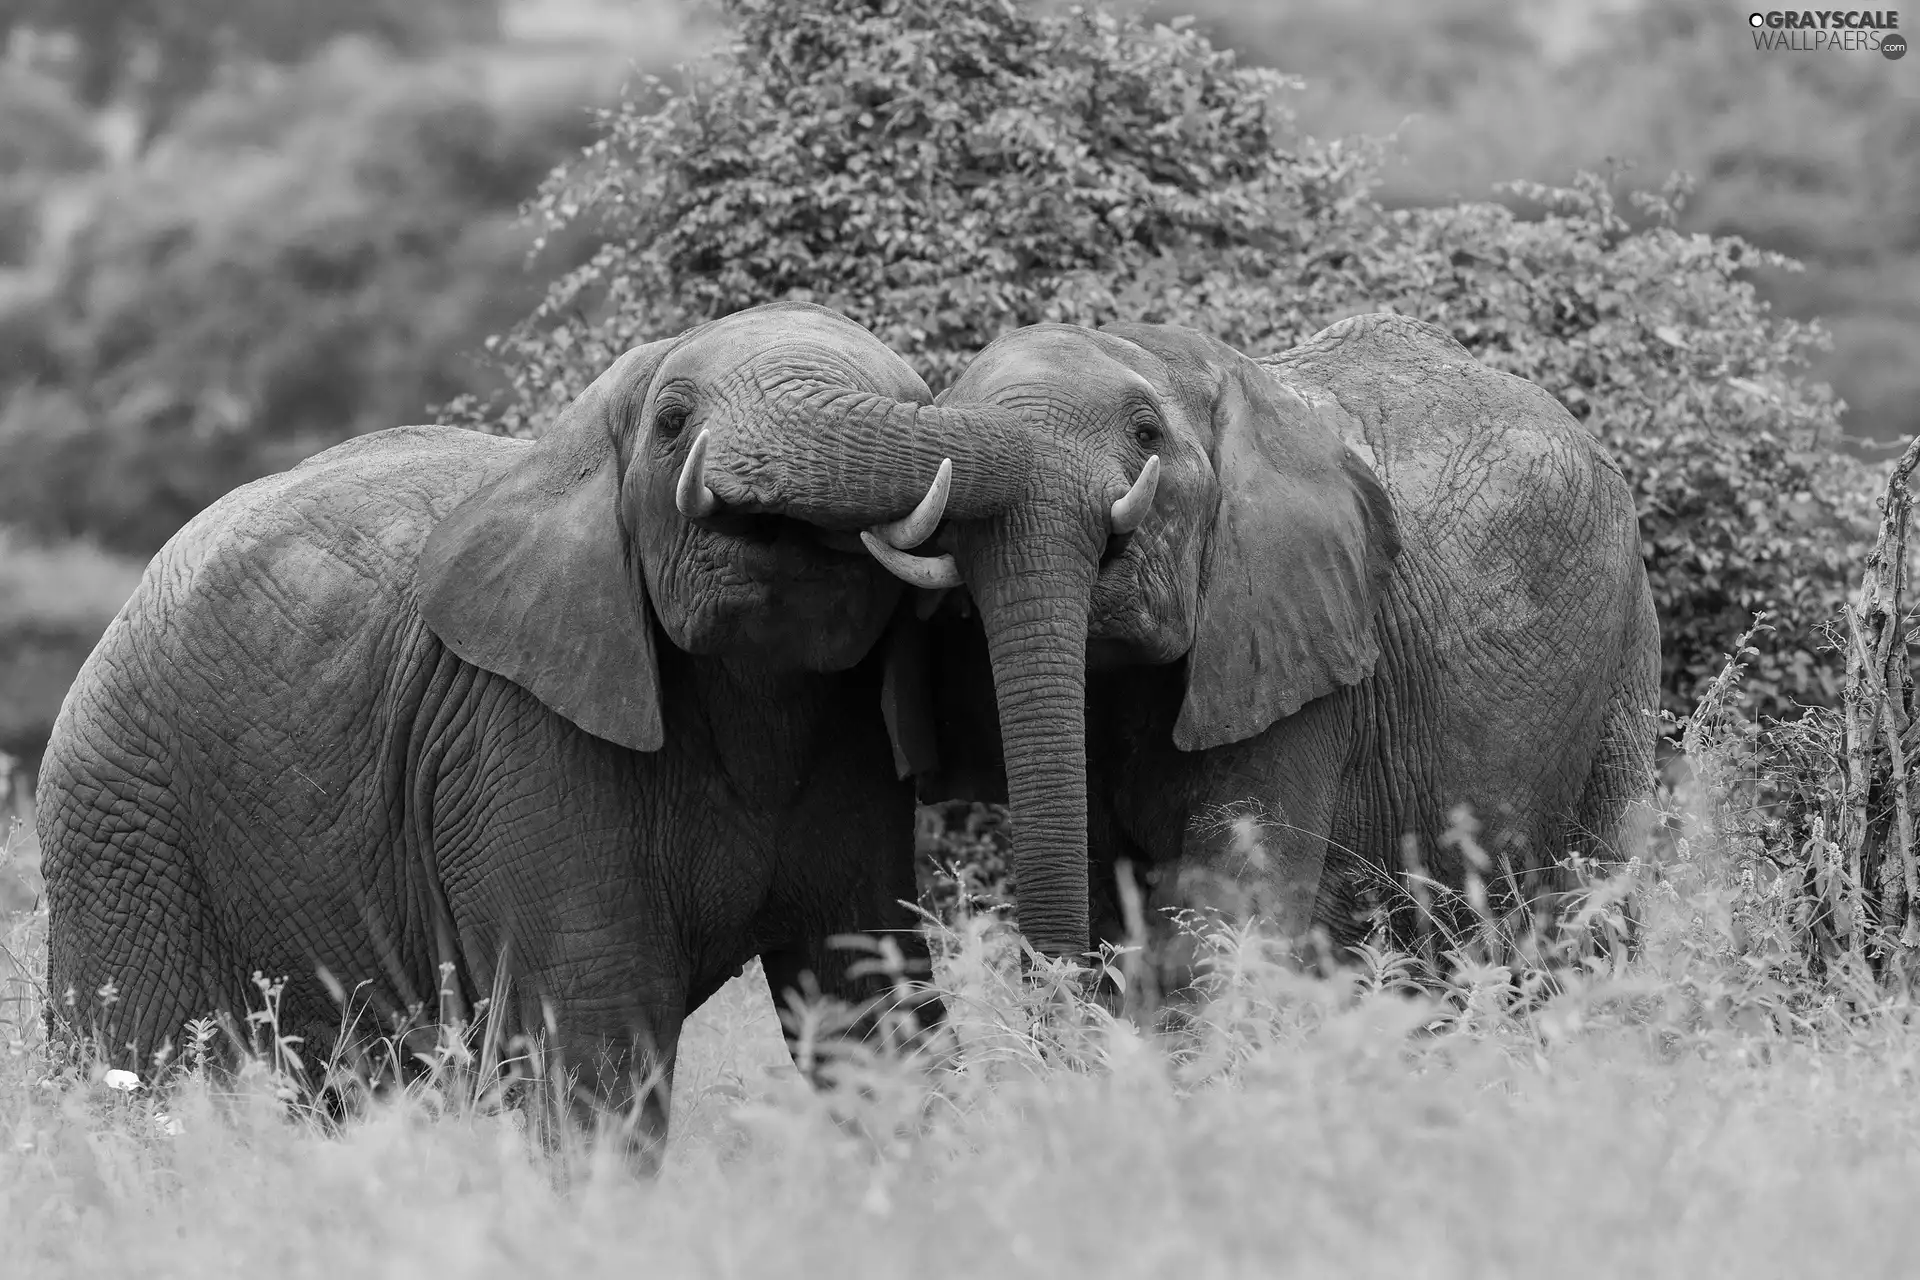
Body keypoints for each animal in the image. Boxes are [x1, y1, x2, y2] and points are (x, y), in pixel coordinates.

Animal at [37, 301, 1036, 1159]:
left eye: (916, 405)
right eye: (672, 420)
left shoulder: (851, 738)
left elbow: (871, 997)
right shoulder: (515, 732)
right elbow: (597, 1023)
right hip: (123, 824)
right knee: (158, 1074)